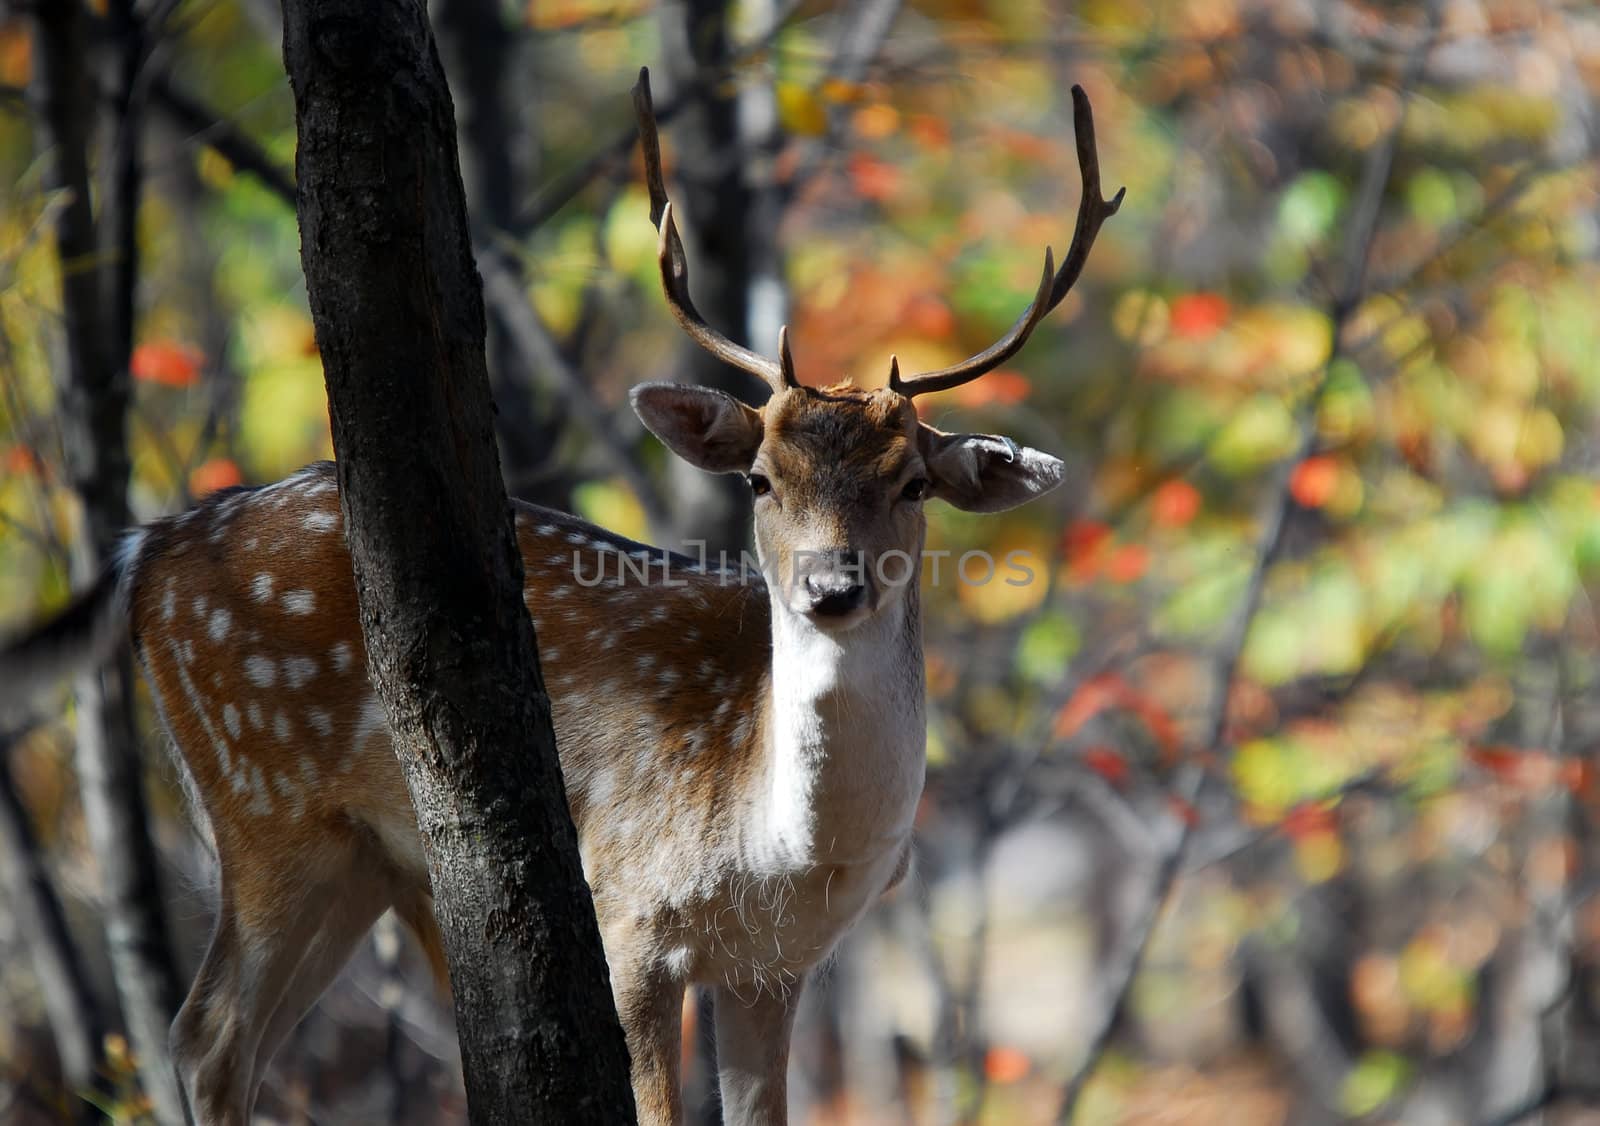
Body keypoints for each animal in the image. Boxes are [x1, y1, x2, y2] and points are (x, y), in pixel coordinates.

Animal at [0, 72, 1126, 1126]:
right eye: (762, 479)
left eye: (914, 484)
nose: (831, 585)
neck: (783, 851)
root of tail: (144, 546)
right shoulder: (628, 912)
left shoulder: (774, 966)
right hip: (262, 799)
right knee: (205, 1031)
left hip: (368, 859)